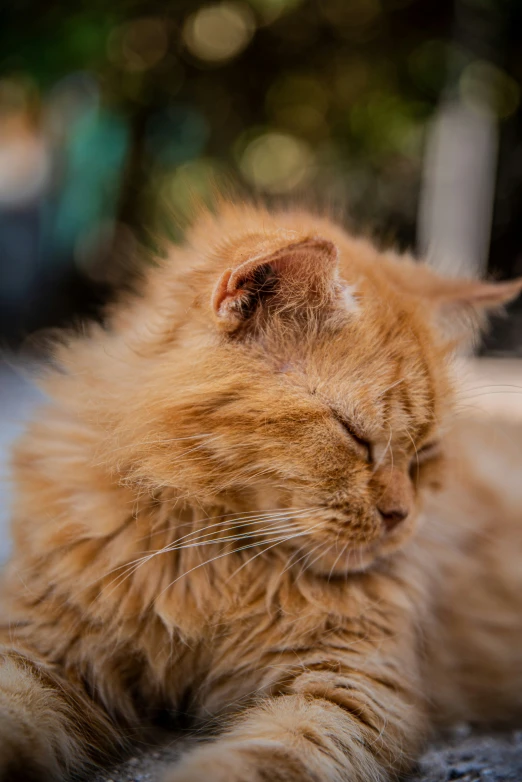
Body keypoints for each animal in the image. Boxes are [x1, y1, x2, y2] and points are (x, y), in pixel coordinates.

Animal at [1, 202, 520, 782]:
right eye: (355, 436)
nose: (400, 516)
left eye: (424, 452)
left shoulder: (346, 689)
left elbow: (258, 760)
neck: (209, 564)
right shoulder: (39, 644)